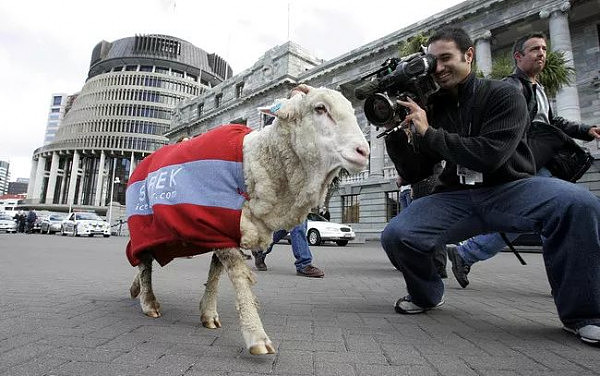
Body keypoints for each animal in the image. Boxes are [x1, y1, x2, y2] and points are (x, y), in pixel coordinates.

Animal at [126, 83, 370, 354]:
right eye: (320, 108)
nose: (364, 152)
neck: (254, 163)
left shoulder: (226, 227)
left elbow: (215, 272)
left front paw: (208, 313)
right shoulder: (215, 222)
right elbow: (238, 275)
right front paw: (256, 336)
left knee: (145, 257)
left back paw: (135, 289)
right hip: (143, 222)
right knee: (144, 261)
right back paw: (149, 302)